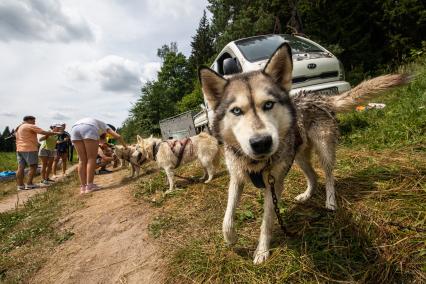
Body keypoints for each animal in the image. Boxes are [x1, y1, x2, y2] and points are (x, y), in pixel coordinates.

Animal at [200, 42, 410, 264]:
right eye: (236, 111)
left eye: (268, 104)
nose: (261, 143)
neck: (255, 163)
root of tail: (319, 97)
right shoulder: (236, 178)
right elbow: (227, 217)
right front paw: (231, 238)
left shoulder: (274, 185)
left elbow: (267, 222)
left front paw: (262, 251)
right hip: (299, 157)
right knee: (314, 176)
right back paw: (307, 195)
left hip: (324, 151)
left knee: (328, 177)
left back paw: (330, 202)